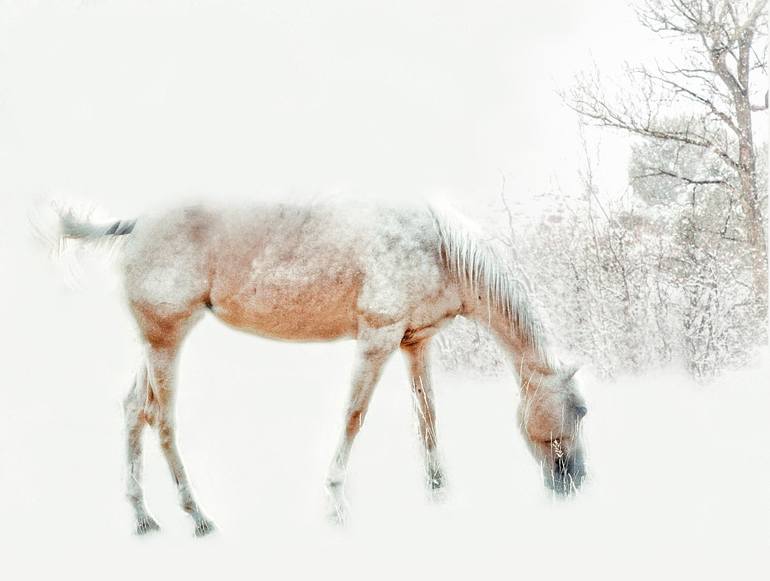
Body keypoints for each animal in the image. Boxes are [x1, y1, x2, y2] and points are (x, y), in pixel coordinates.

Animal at [58, 199, 588, 536]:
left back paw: (143, 517)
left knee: (134, 409)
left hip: (156, 342)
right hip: (167, 341)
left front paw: (439, 492)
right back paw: (198, 517)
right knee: (161, 419)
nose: (574, 483)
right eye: (581, 411)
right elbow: (354, 415)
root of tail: (136, 224)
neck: (437, 247)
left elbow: (428, 416)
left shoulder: (415, 342)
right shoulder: (377, 337)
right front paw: (336, 502)